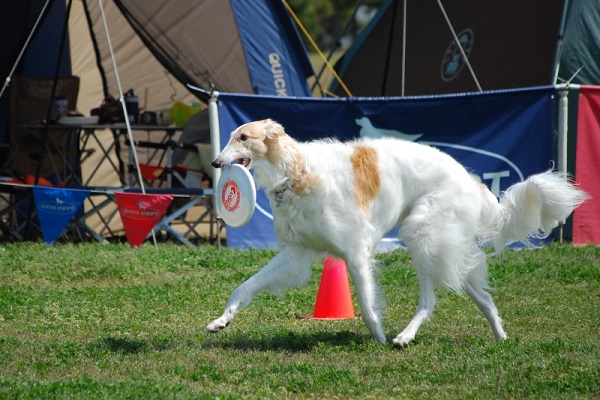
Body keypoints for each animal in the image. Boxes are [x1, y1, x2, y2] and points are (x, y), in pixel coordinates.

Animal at [209, 119, 588, 346]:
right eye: (229, 137)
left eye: (243, 137)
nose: (215, 163)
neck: (297, 172)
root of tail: (472, 181)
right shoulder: (293, 255)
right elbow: (243, 288)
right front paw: (220, 321)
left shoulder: (356, 251)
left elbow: (366, 305)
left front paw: (377, 337)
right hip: (445, 246)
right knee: (481, 295)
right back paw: (500, 335)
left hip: (422, 235)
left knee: (430, 299)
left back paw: (404, 336)